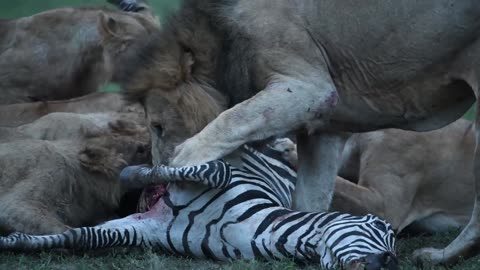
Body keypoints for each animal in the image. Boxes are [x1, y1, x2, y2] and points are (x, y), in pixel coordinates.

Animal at [0, 138, 398, 268]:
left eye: (394, 251)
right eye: (382, 230)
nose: (388, 263)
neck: (256, 231)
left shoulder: (145, 228)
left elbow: (80, 237)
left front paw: (14, 242)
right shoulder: (212, 180)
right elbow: (214, 168)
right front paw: (134, 173)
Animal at [114, 1, 480, 264]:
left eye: (157, 126)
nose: (152, 192)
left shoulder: (309, 89)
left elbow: (227, 122)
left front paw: (181, 169)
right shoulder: (326, 129)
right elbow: (309, 203)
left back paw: (443, 254)